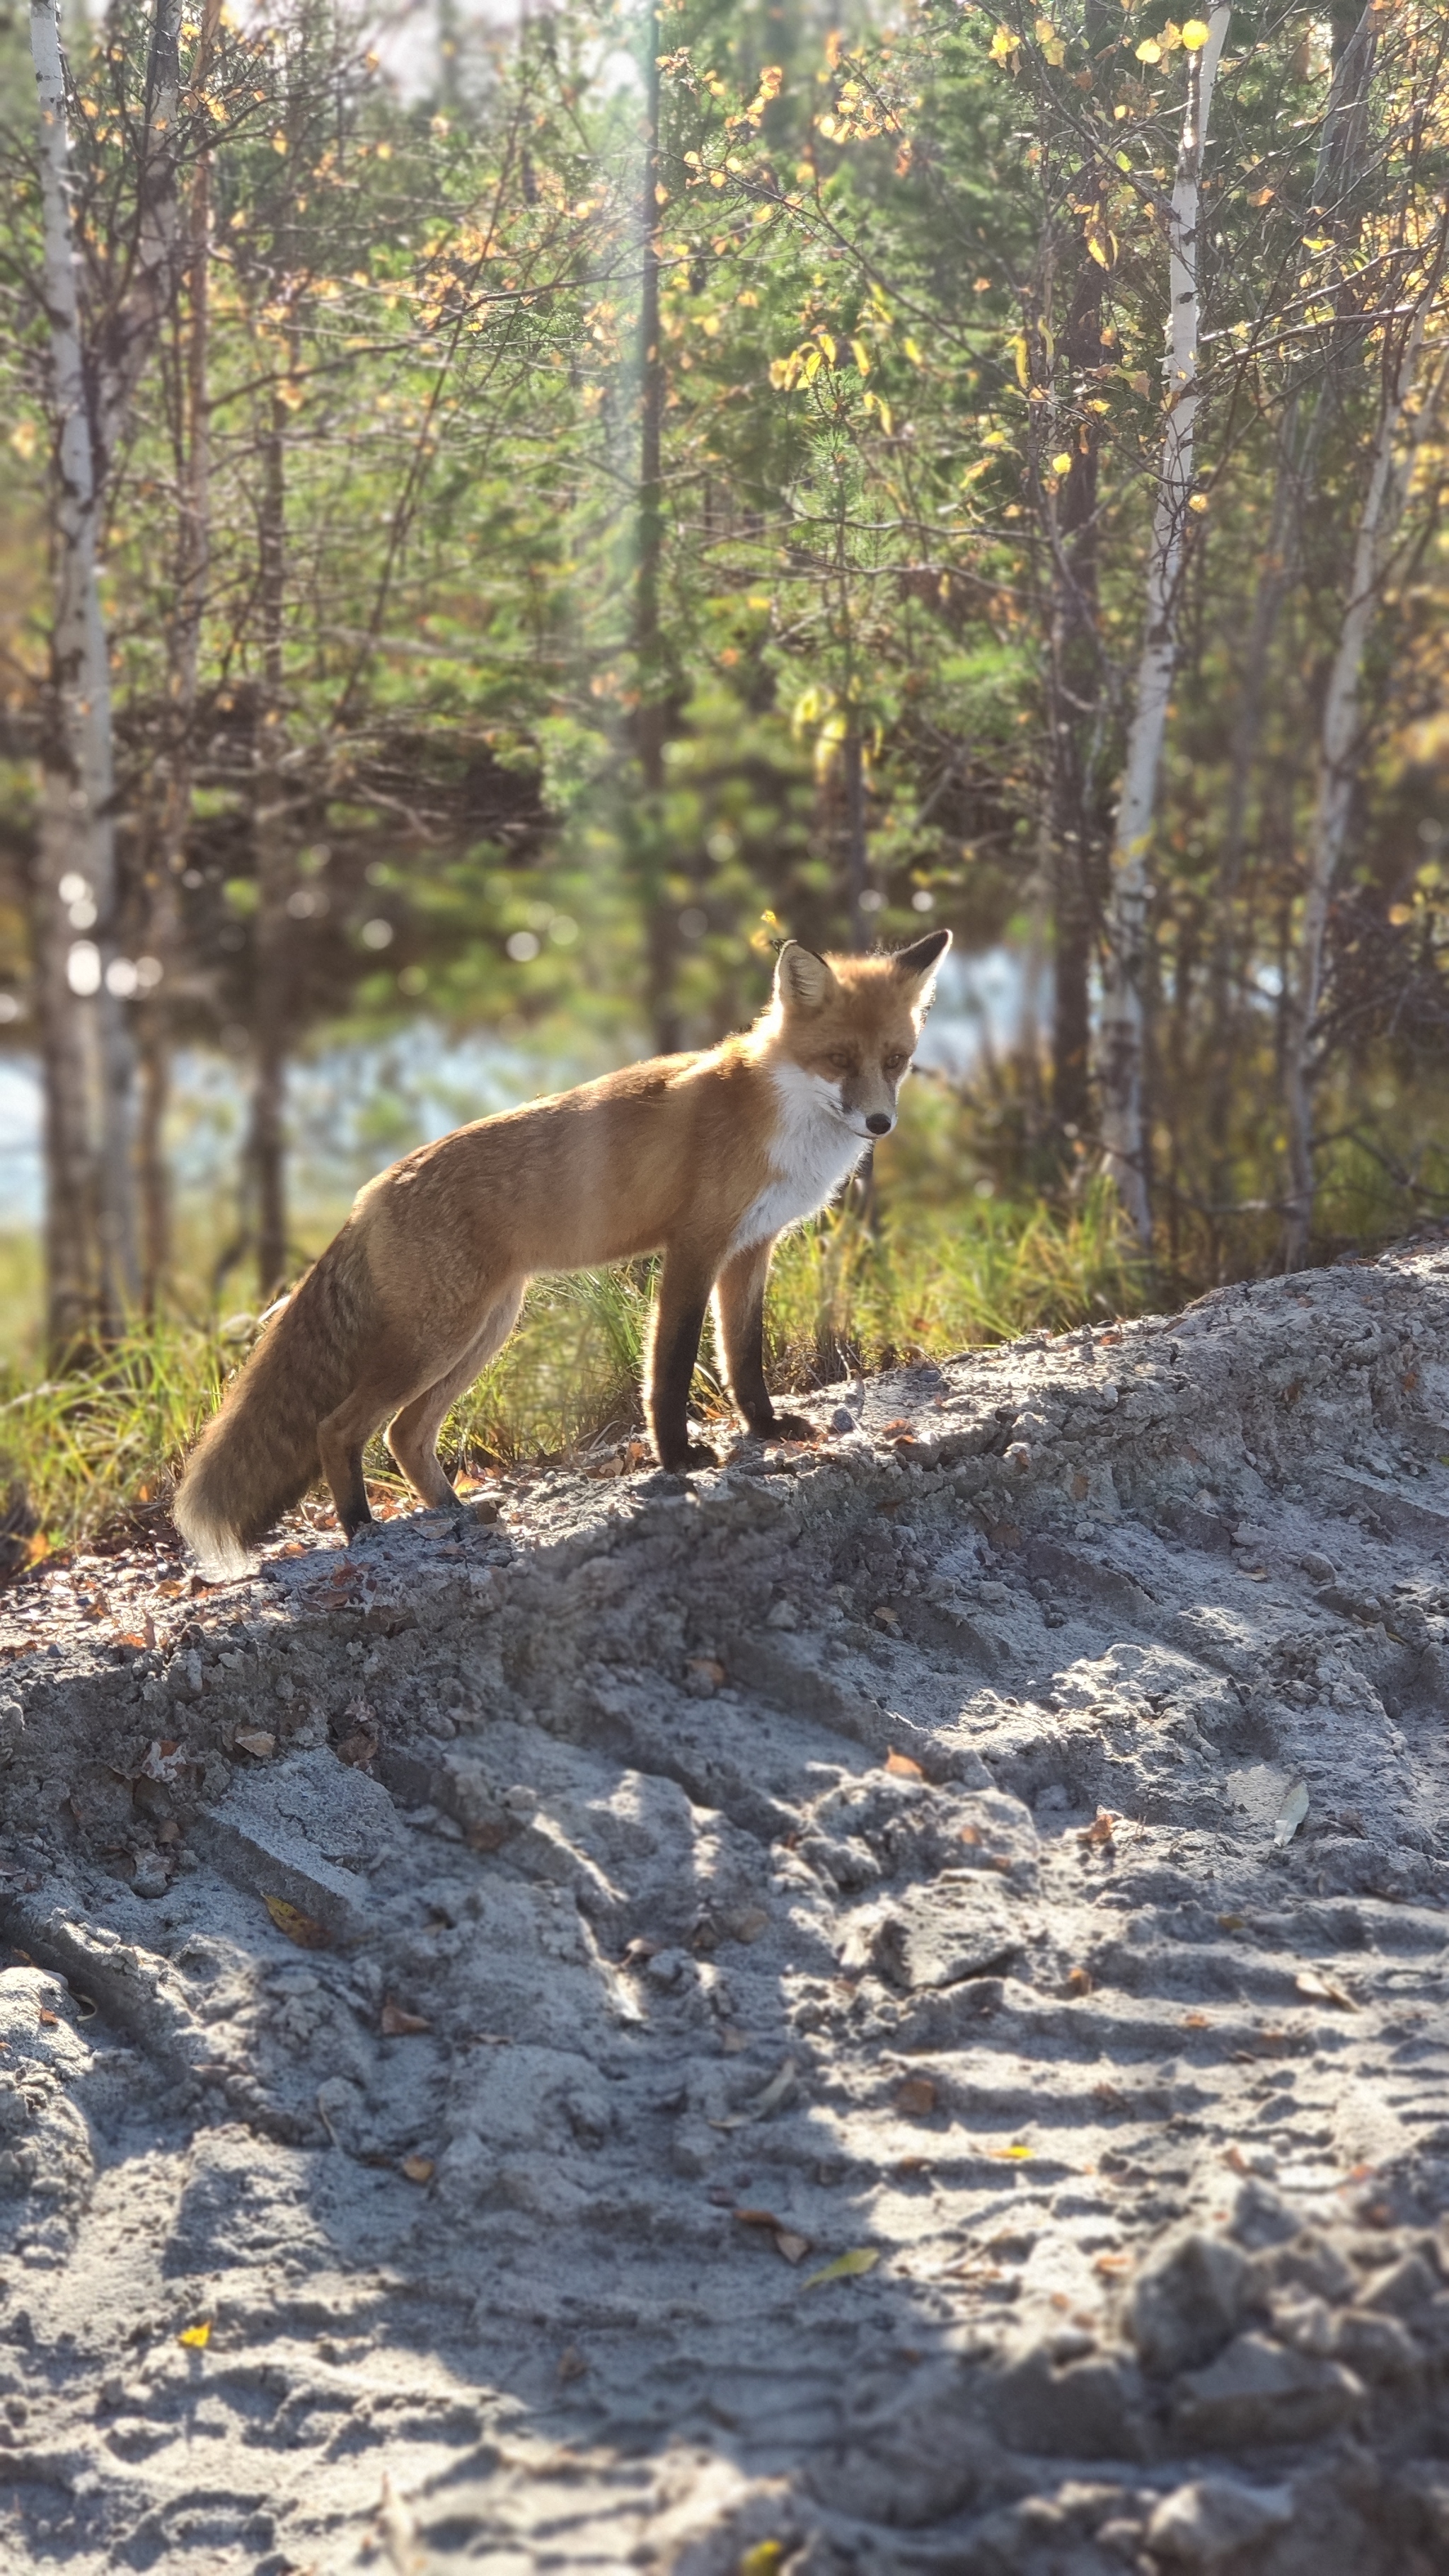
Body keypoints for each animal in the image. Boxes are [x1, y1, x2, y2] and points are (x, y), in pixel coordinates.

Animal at [175, 927, 949, 1566]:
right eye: (839, 1058)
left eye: (895, 1060)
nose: (879, 1123)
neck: (779, 1114)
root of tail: (372, 1192)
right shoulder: (694, 1246)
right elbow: (671, 1366)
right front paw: (677, 1457)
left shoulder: (750, 1248)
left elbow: (744, 1357)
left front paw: (765, 1429)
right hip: (438, 1336)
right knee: (337, 1427)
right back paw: (361, 1528)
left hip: (481, 1332)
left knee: (405, 1435)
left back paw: (455, 1511)